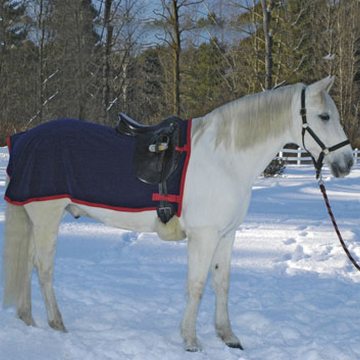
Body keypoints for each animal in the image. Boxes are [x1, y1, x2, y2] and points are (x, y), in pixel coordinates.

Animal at [2, 76, 352, 352]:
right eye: (324, 116)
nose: (346, 163)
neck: (224, 159)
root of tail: (23, 139)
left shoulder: (226, 235)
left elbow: (222, 283)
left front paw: (228, 336)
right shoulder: (204, 236)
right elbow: (196, 286)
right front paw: (190, 340)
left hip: (36, 218)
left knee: (30, 265)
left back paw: (28, 319)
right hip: (47, 216)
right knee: (44, 268)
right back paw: (57, 323)